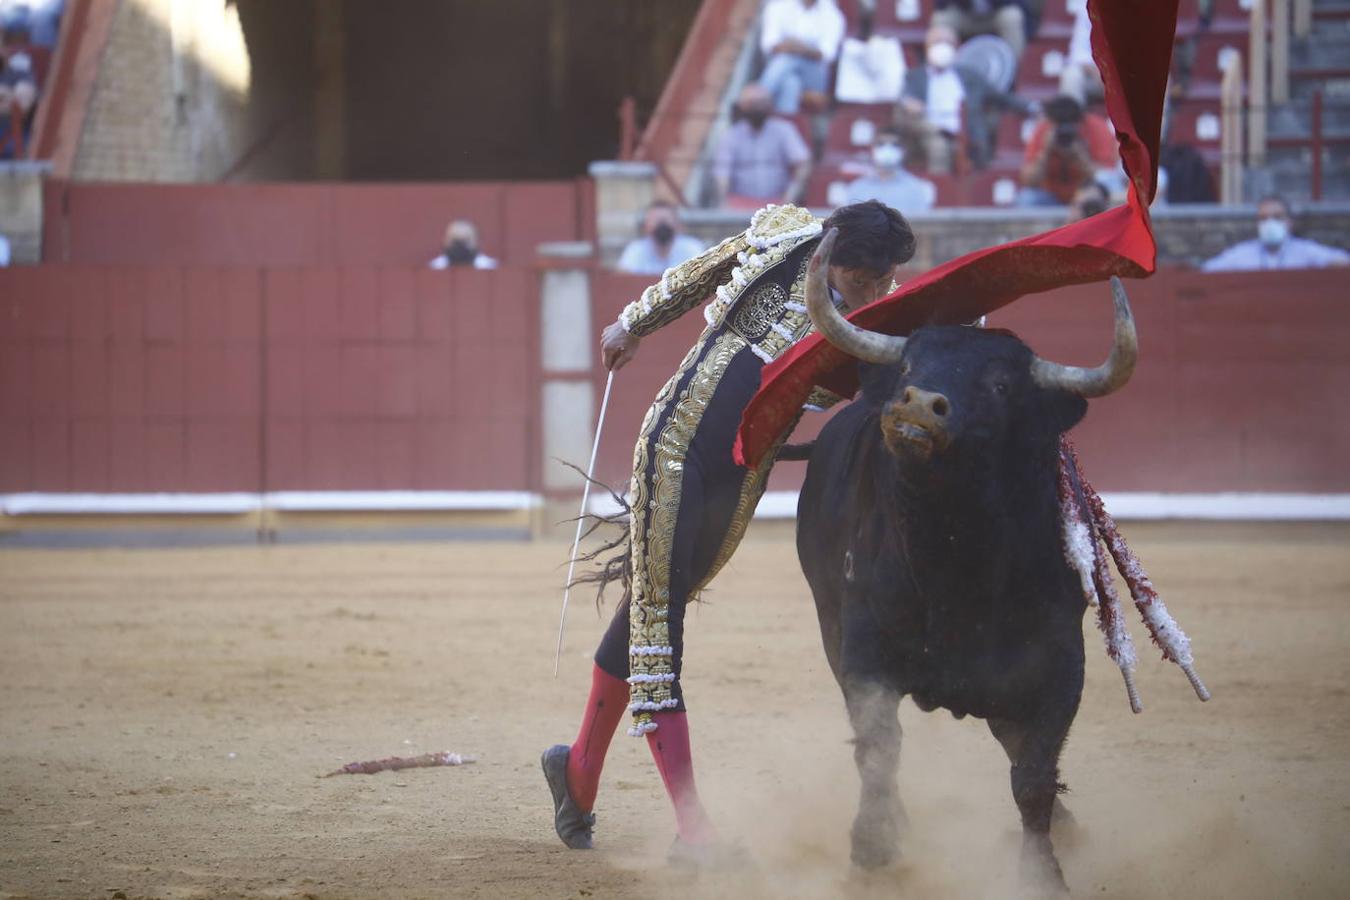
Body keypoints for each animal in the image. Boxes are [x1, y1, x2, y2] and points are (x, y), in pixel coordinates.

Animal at [793, 229, 1134, 890]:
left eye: (1001, 386)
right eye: (908, 365)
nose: (917, 405)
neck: (954, 554)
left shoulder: (1061, 665)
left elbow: (1032, 775)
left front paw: (1043, 876)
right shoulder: (863, 649)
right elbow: (878, 747)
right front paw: (872, 852)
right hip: (828, 625)